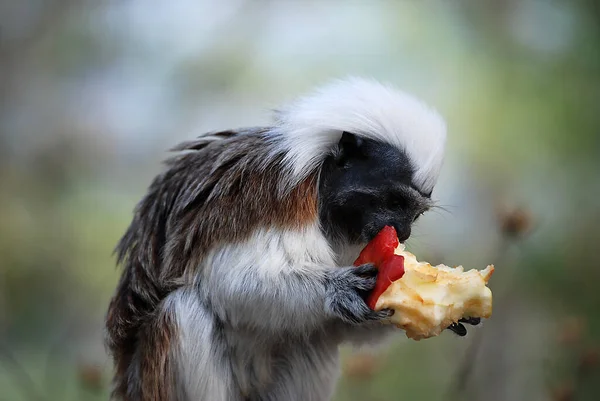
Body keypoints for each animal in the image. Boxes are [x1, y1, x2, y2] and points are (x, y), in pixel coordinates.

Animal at [106, 76, 464, 398]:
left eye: (414, 214)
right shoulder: (272, 193)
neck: (322, 192)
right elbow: (228, 282)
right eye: (395, 202)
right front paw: (338, 288)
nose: (403, 232)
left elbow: (337, 323)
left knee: (310, 337)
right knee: (183, 309)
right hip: (152, 381)